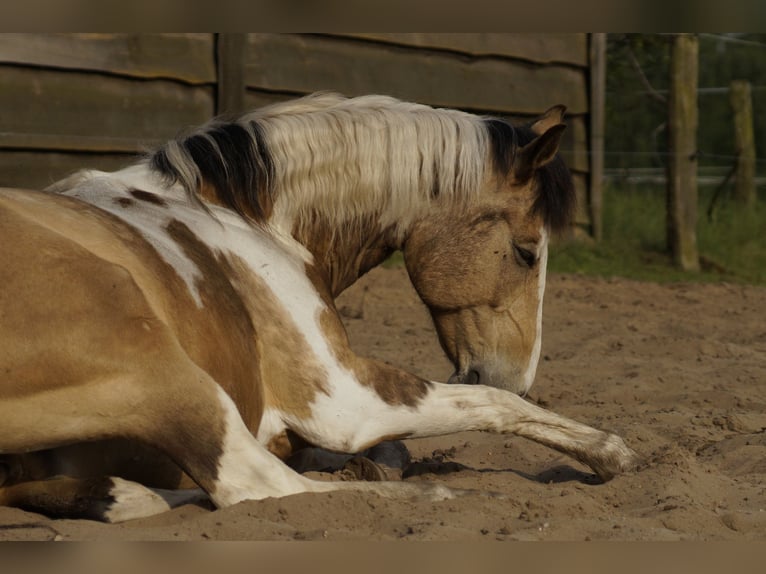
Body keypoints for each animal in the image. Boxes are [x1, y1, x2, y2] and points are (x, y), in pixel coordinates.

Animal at [0, 92, 640, 524]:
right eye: (527, 252)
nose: (518, 374)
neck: (243, 220)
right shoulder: (341, 399)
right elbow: (493, 406)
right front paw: (608, 453)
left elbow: (391, 446)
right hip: (170, 376)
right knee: (252, 484)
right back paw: (436, 495)